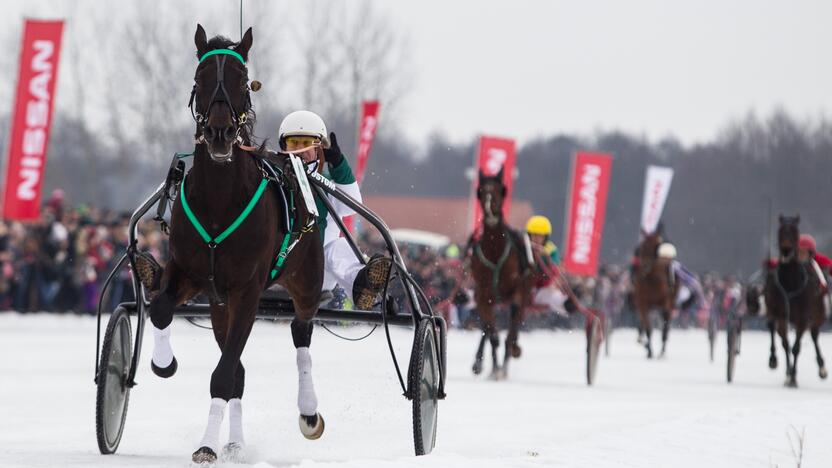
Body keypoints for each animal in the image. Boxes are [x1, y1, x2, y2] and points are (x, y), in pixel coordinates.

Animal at [143, 26, 324, 464]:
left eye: (243, 81)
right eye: (201, 76)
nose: (221, 132)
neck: (220, 201)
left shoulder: (247, 289)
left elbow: (224, 376)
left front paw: (208, 445)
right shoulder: (189, 272)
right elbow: (160, 310)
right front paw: (163, 363)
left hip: (306, 280)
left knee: (301, 328)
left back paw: (308, 411)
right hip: (218, 305)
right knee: (238, 362)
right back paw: (235, 442)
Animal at [468, 168, 532, 380]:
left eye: (501, 190)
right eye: (480, 191)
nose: (491, 214)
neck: (495, 251)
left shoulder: (517, 292)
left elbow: (510, 334)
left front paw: (503, 367)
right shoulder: (482, 294)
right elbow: (492, 335)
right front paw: (495, 370)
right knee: (488, 329)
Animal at [760, 216, 824, 388]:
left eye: (795, 232)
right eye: (781, 230)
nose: (787, 250)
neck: (790, 283)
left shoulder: (803, 316)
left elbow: (796, 347)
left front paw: (793, 377)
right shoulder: (779, 311)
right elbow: (783, 341)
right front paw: (778, 365)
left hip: (817, 314)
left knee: (814, 335)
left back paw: (820, 367)